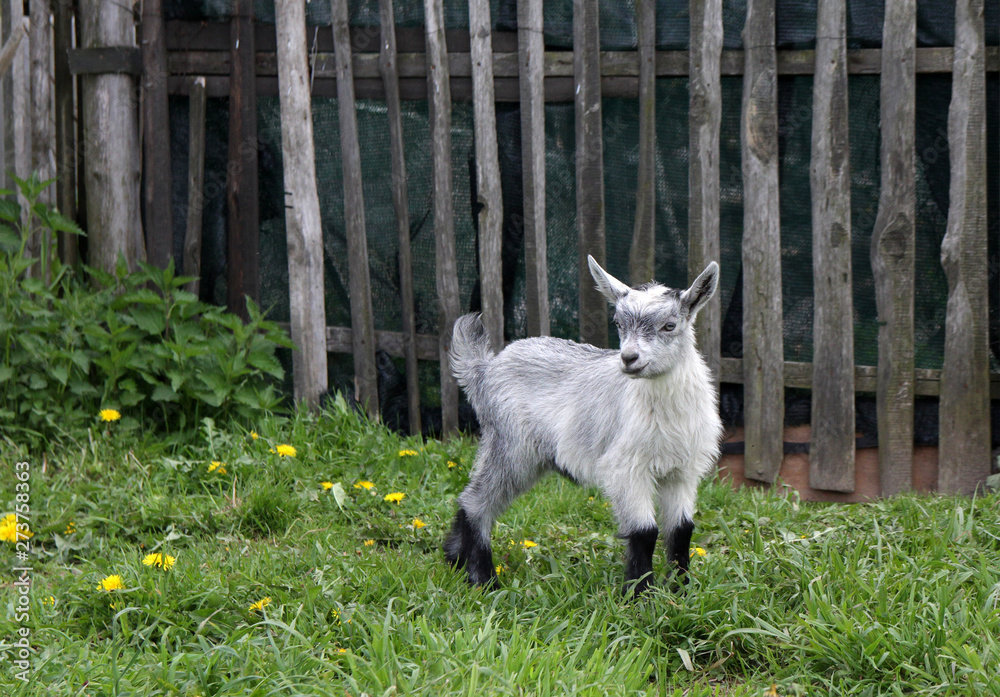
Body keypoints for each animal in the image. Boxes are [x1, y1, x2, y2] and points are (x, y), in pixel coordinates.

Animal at [444, 256, 723, 595]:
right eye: (618, 324)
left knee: (470, 495)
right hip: (512, 446)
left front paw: (681, 591)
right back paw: (484, 579)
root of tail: (485, 370)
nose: (629, 358)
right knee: (477, 503)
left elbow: (682, 530)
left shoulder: (682, 472)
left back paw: (455, 560)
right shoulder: (626, 469)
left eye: (669, 325)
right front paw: (640, 595)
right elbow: (644, 532)